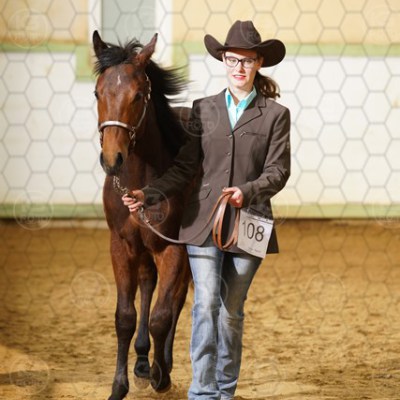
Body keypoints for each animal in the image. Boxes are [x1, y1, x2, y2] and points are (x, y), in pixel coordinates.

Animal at [92, 30, 192, 400]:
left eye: (138, 95)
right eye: (97, 92)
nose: (112, 159)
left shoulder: (172, 248)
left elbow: (163, 314)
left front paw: (162, 376)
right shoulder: (121, 245)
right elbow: (125, 315)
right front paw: (119, 385)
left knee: (177, 299)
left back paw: (161, 363)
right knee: (148, 284)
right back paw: (141, 359)